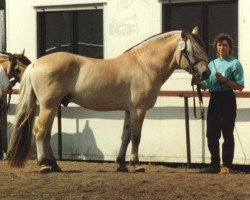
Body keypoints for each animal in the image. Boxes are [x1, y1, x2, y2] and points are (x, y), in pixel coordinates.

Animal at [7, 27, 211, 173]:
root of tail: (35, 64)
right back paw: (43, 165)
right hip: (48, 106)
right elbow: (136, 137)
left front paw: (121, 164)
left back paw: (55, 165)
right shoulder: (139, 109)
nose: (206, 73)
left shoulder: (129, 110)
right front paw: (136, 164)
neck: (144, 65)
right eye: (193, 50)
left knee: (46, 133)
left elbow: (125, 136)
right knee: (40, 131)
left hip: (52, 106)